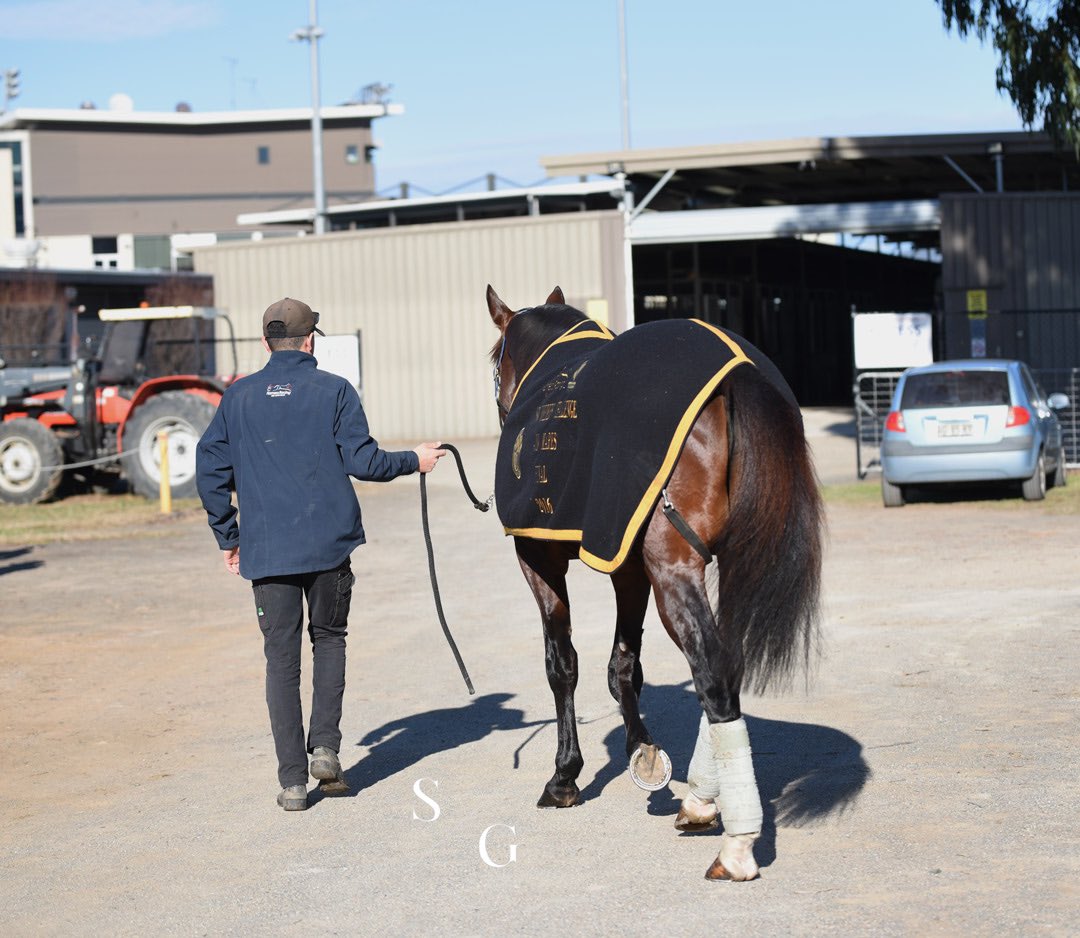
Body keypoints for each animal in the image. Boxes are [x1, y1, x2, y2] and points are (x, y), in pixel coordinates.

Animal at [485, 285, 824, 881]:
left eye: (491, 359)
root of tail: (737, 371)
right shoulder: (625, 562)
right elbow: (624, 665)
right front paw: (643, 755)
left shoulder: (539, 558)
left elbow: (562, 664)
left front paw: (565, 775)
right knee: (727, 665)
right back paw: (702, 800)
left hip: (674, 572)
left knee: (713, 674)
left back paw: (734, 844)